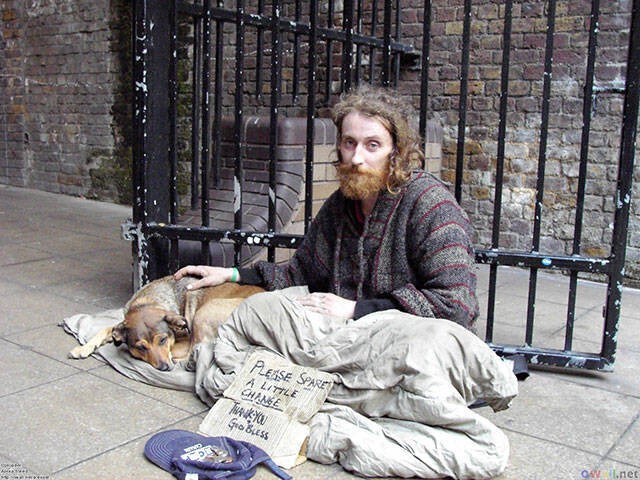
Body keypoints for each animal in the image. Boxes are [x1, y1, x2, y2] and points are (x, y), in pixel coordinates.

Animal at [67, 274, 262, 372]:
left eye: (162, 340)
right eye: (141, 347)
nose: (164, 367)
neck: (148, 302)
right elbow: (106, 329)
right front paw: (83, 348)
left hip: (204, 313)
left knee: (195, 352)